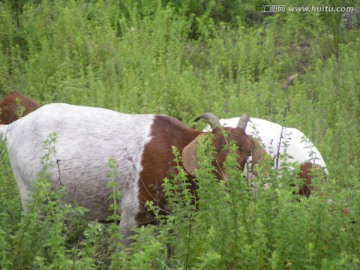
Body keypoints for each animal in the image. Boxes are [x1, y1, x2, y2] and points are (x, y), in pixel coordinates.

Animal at [0, 104, 264, 247]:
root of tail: (12, 127)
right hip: (33, 199)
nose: (232, 185)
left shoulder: (173, 221)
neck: (177, 151)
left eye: (246, 153)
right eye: (213, 150)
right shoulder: (130, 220)